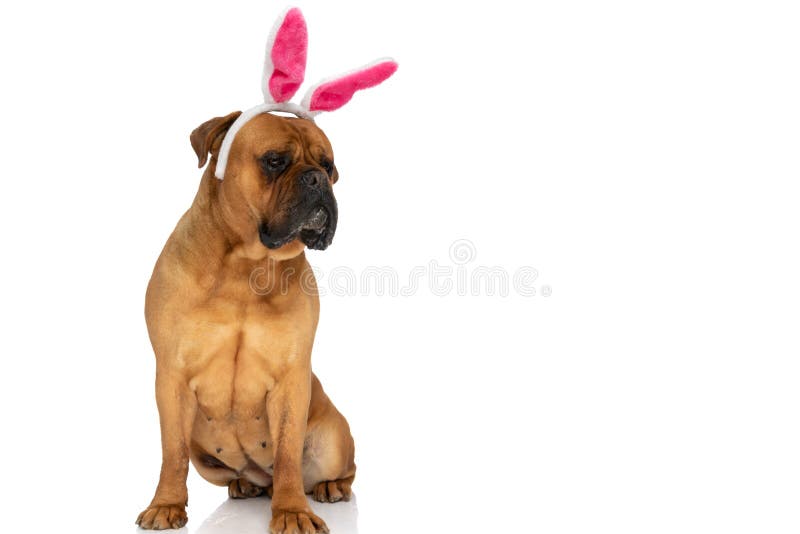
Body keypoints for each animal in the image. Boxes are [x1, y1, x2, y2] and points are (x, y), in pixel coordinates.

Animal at [136, 110, 354, 534]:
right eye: (275, 160)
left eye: (328, 165)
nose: (317, 179)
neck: (245, 264)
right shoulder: (171, 376)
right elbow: (172, 453)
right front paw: (166, 505)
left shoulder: (291, 379)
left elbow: (287, 453)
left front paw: (293, 511)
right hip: (205, 456)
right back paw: (244, 485)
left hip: (335, 437)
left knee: (340, 470)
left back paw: (330, 487)